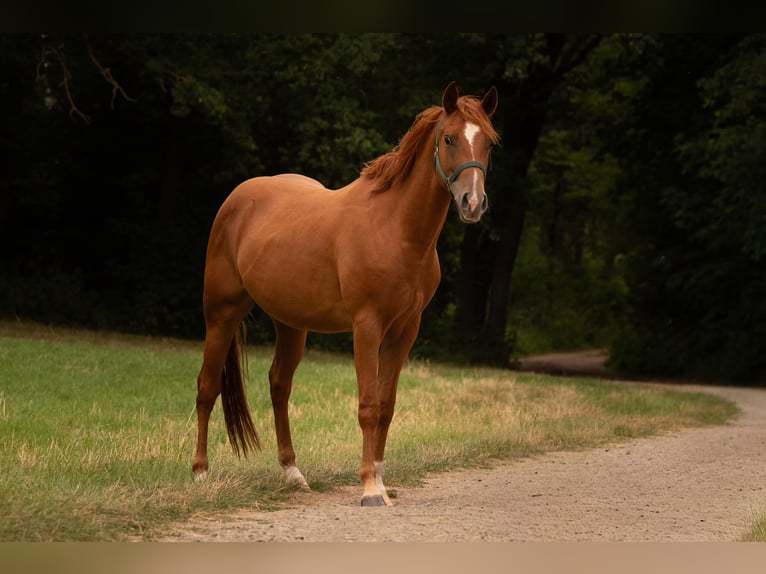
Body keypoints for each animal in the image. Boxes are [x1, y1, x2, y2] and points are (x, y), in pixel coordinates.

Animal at [192, 81, 499, 506]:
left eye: (488, 142)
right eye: (449, 138)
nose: (473, 203)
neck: (395, 228)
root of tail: (238, 198)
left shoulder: (405, 331)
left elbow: (386, 405)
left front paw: (382, 481)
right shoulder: (366, 326)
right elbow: (368, 405)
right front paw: (369, 487)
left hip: (291, 324)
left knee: (279, 385)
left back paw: (292, 472)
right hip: (222, 314)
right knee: (207, 387)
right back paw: (200, 474)